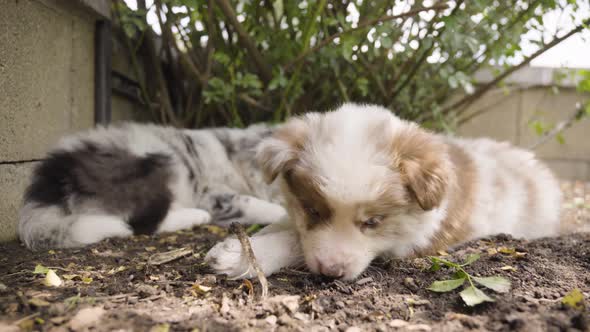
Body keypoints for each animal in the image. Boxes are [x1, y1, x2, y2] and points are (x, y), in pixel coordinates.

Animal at [22, 123, 290, 250]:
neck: (235, 158)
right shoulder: (210, 194)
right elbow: (248, 201)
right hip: (159, 162)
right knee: (144, 223)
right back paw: (196, 216)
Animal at [206, 104, 560, 280]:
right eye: (313, 211)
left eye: (373, 222)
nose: (331, 272)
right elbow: (287, 226)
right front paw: (242, 246)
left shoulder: (411, 241)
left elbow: (294, 240)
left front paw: (244, 257)